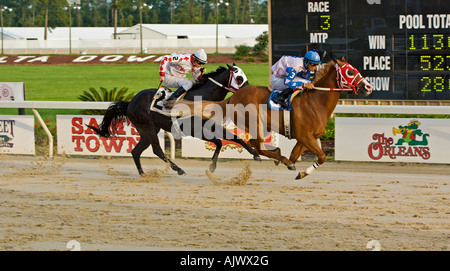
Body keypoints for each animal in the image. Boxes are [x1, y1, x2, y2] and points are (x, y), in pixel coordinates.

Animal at [88, 65, 260, 176]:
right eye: (239, 78)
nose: (250, 90)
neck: (201, 98)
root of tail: (130, 102)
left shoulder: (210, 125)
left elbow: (232, 137)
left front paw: (255, 153)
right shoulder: (195, 129)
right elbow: (218, 142)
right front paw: (211, 167)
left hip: (146, 130)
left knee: (136, 151)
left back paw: (143, 173)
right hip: (148, 127)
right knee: (157, 150)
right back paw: (178, 169)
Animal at [175, 57, 372, 180]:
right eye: (349, 72)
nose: (368, 86)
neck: (316, 102)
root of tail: (233, 97)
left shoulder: (305, 139)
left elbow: (295, 157)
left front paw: (294, 168)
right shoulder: (306, 137)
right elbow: (322, 157)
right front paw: (297, 170)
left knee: (257, 146)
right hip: (254, 123)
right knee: (258, 147)